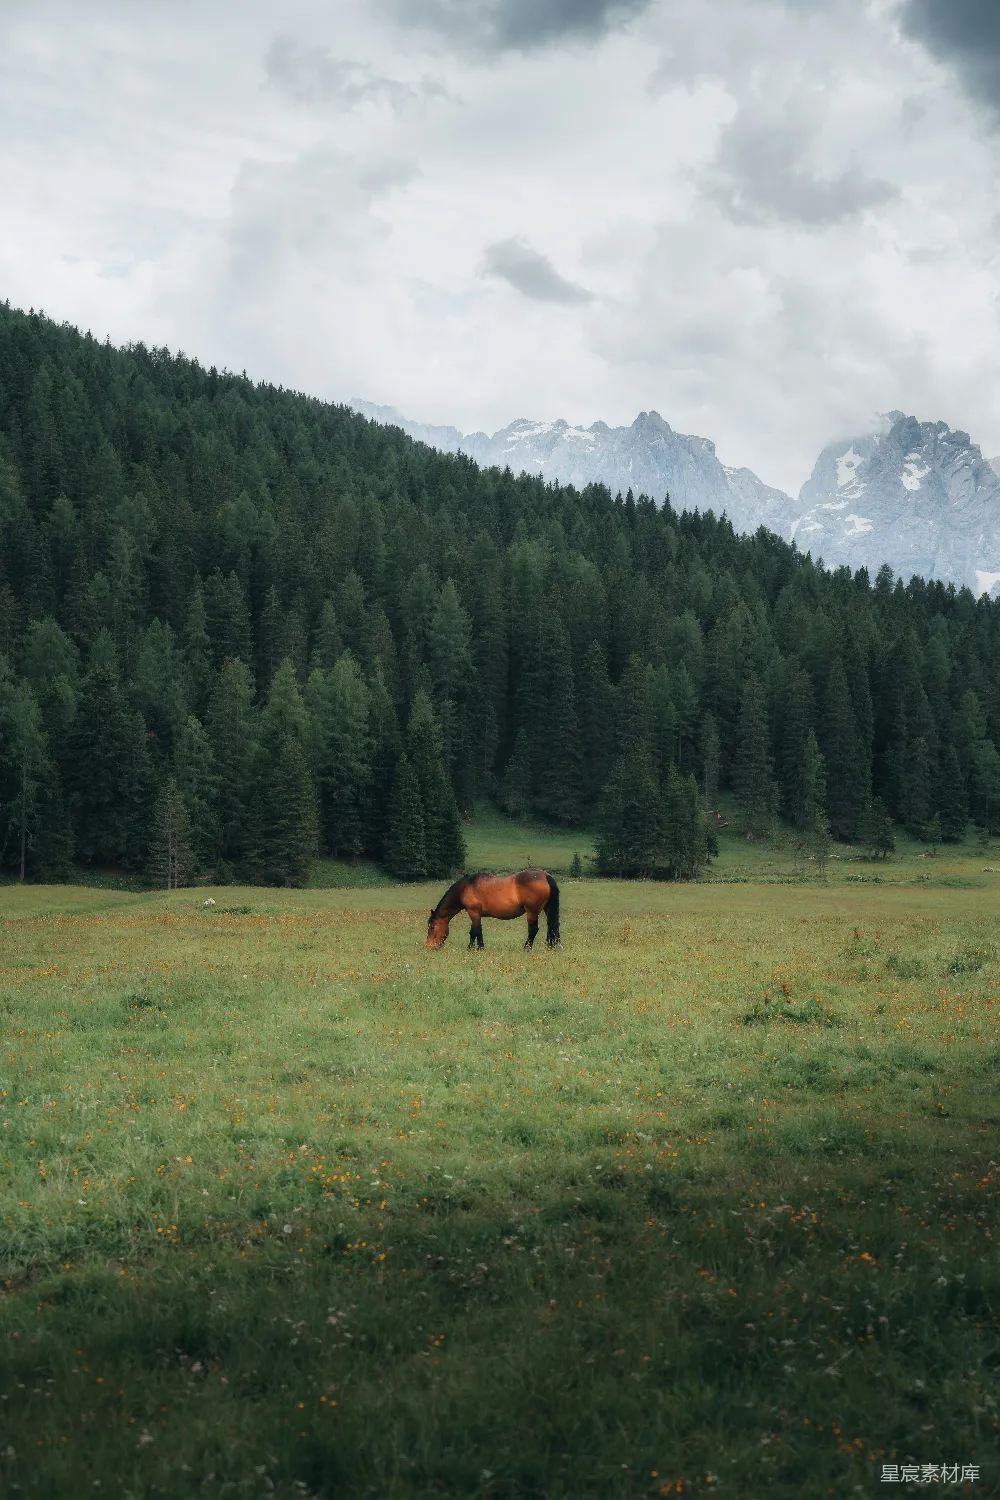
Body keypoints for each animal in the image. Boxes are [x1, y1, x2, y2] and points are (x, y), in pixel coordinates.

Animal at [426, 868, 560, 950]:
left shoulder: (473, 912)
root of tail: (545, 876)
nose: (429, 946)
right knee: (552, 927)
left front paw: (475, 948)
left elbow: (476, 931)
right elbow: (476, 931)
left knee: (533, 929)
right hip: (547, 909)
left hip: (532, 912)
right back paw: (552, 946)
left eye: (432, 927)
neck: (465, 887)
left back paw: (526, 948)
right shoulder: (475, 914)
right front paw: (475, 948)